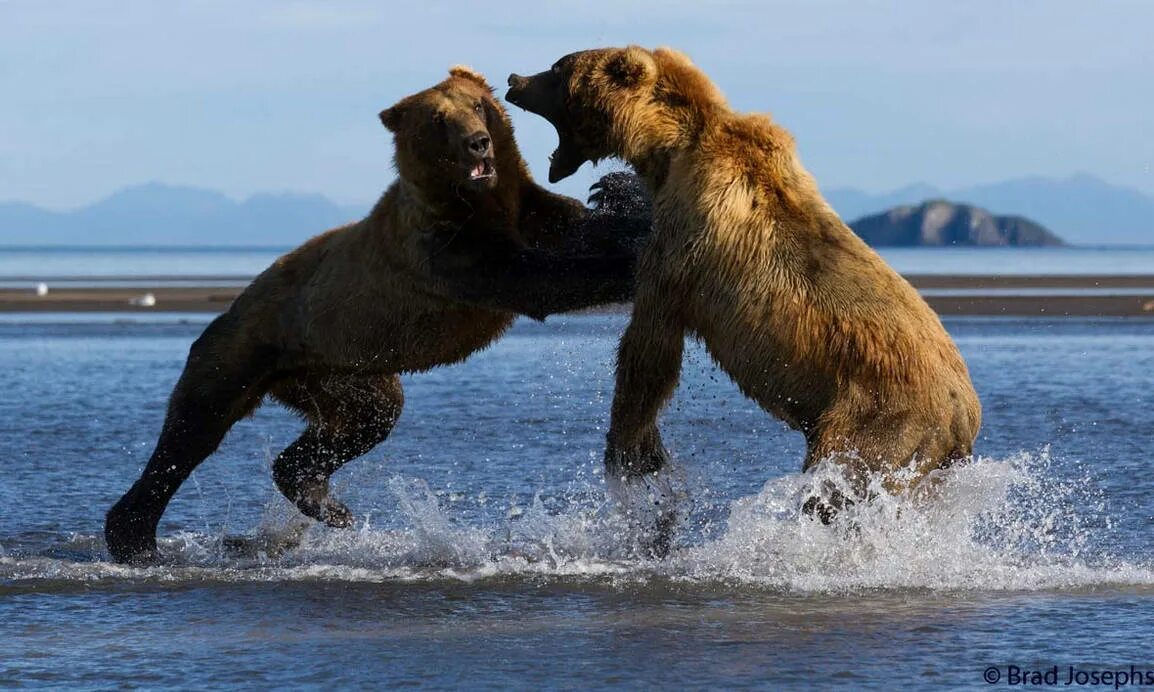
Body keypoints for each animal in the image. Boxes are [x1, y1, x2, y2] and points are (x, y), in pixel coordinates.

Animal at [103, 66, 655, 562]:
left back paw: (323, 502)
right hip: (248, 347)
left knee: (368, 419)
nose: (478, 144)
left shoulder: (526, 210)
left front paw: (622, 197)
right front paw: (631, 256)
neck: (479, 202)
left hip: (340, 371)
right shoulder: (448, 253)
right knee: (191, 431)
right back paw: (134, 537)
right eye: (439, 120)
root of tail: (234, 305)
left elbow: (578, 227)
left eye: (478, 106)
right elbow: (540, 279)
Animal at [507, 45, 983, 528]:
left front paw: (632, 455)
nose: (513, 80)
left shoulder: (685, 244)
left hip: (880, 423)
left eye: (557, 69)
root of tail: (964, 417)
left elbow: (651, 347)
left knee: (836, 487)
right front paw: (612, 190)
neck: (670, 149)